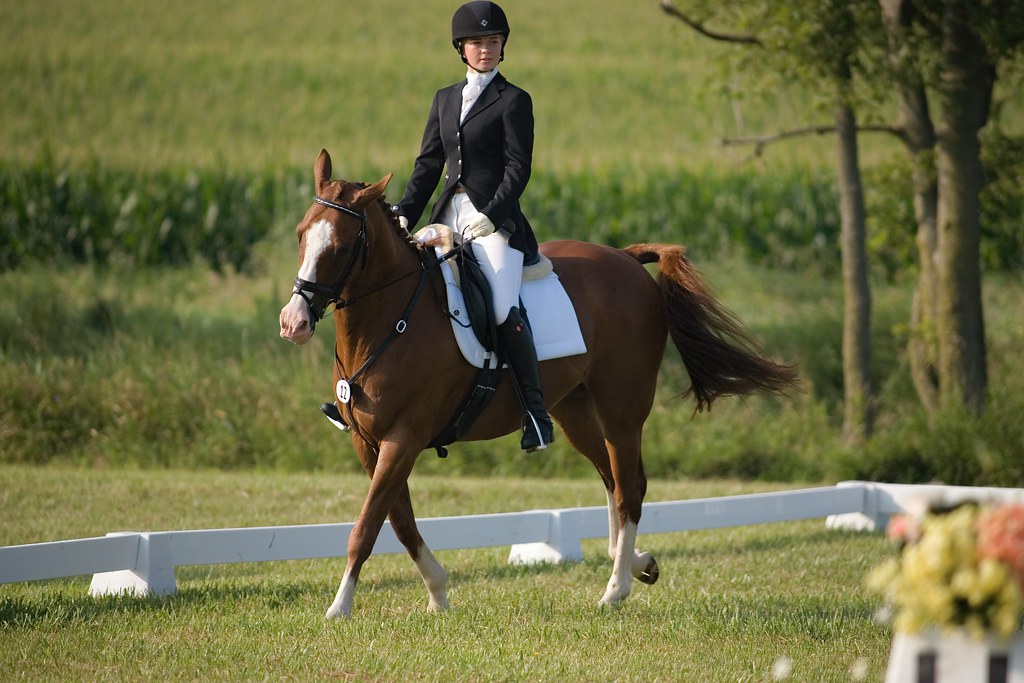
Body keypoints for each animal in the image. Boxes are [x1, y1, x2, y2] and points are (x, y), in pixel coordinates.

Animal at [279, 149, 799, 619]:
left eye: (341, 247)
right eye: (302, 235)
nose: (293, 323)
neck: (392, 319)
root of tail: (627, 259)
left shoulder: (403, 439)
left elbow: (366, 527)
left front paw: (339, 609)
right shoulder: (369, 443)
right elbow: (400, 523)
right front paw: (439, 596)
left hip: (622, 408)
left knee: (628, 489)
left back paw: (615, 591)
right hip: (574, 410)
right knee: (616, 481)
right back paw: (637, 563)